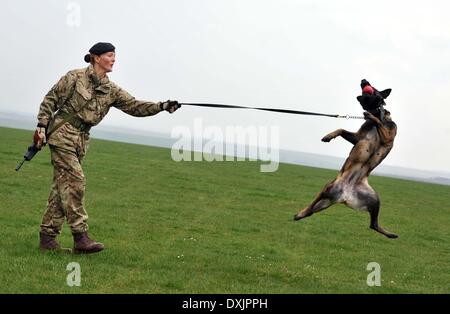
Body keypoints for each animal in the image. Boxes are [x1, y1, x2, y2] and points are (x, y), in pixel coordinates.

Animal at [296, 79, 398, 238]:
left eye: (372, 87)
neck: (378, 113)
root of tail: (345, 196)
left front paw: (371, 116)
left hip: (374, 200)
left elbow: (377, 122)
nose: (363, 79)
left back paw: (390, 234)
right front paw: (329, 136)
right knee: (311, 206)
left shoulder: (388, 137)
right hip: (328, 189)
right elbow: (342, 129)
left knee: (373, 225)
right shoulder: (358, 137)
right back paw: (300, 213)